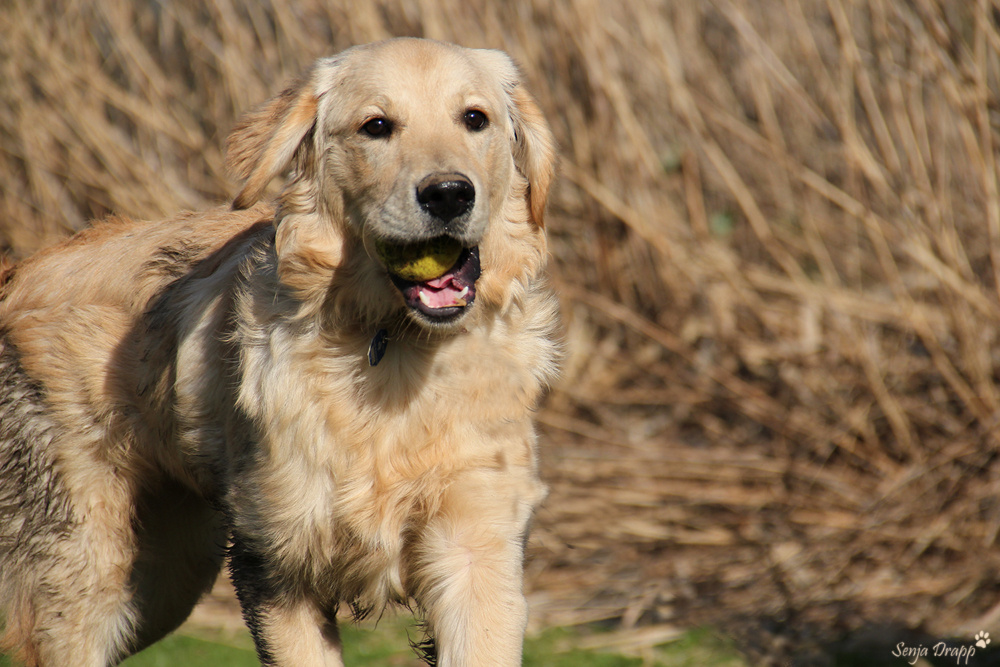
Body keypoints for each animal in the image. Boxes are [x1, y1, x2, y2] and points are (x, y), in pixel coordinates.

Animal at [0, 40, 560, 667]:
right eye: (377, 126)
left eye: (474, 119)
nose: (448, 193)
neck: (391, 346)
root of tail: (22, 271)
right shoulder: (277, 565)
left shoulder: (478, 553)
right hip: (89, 575)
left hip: (164, 576)